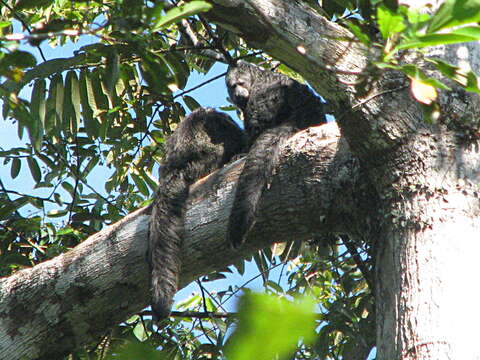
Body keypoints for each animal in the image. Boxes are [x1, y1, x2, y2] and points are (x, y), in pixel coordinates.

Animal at [225, 61, 326, 248]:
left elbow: (257, 118)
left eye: (241, 83)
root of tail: (305, 114)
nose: (237, 93)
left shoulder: (261, 90)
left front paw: (243, 152)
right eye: (232, 86)